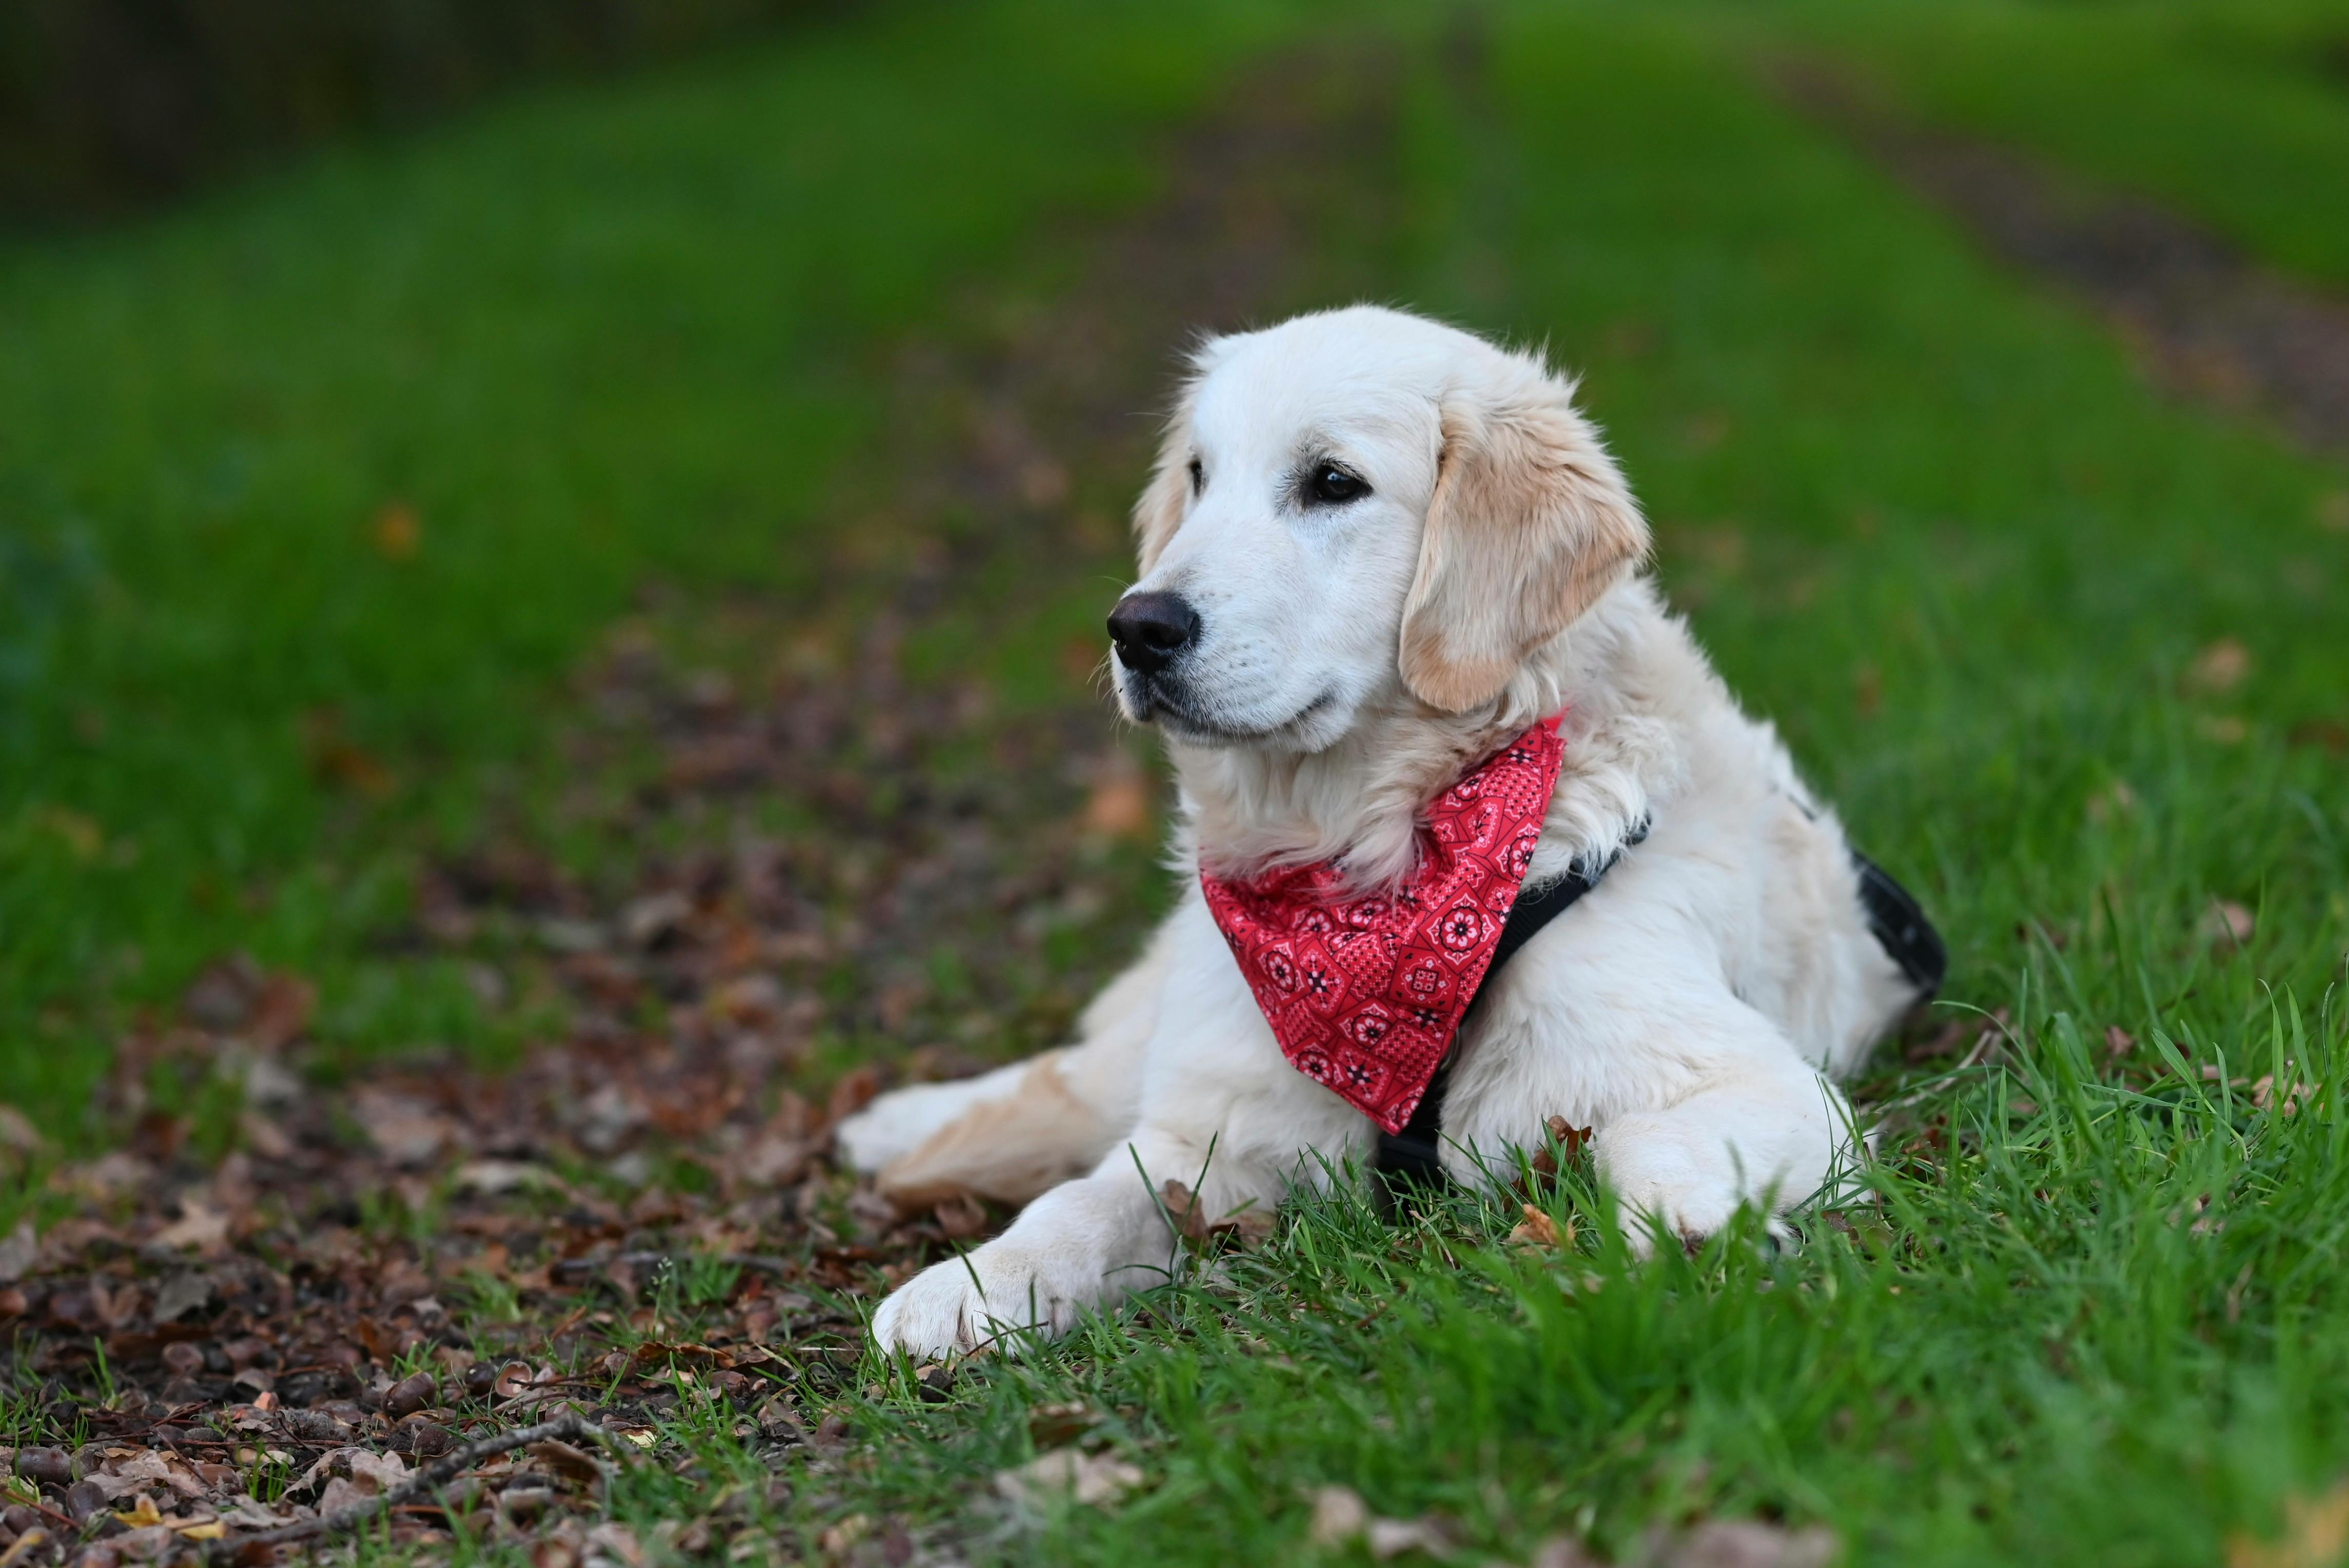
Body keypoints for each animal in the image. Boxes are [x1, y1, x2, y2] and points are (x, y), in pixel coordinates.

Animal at [836, 305, 1935, 1361]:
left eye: (1333, 483)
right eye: (1197, 475)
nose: (1137, 628)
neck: (1378, 861)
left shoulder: (1761, 1081)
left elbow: (1641, 1140)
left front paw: (1695, 1230)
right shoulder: (1219, 1121)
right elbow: (1085, 1199)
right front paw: (972, 1286)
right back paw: (892, 1122)